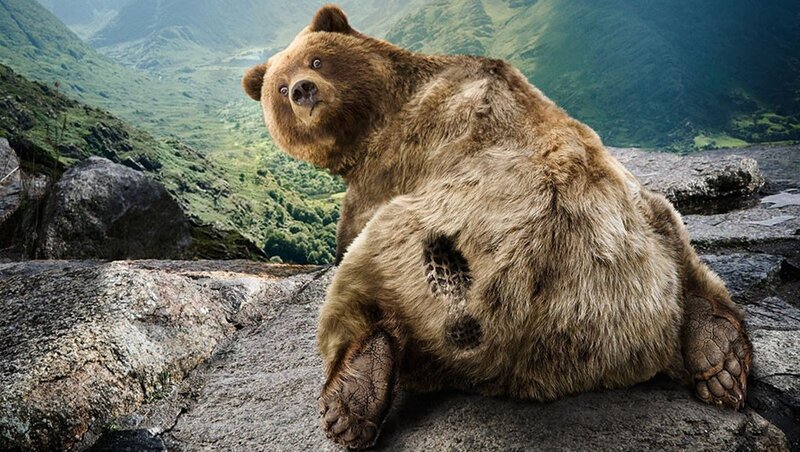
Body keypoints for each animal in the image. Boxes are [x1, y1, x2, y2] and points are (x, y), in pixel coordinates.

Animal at [243, 5, 752, 449]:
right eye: (280, 89)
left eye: (316, 59)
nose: (304, 90)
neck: (380, 112)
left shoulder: (394, 162)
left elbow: (350, 232)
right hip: (638, 233)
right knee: (682, 248)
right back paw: (720, 357)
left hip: (430, 246)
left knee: (362, 278)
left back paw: (352, 397)